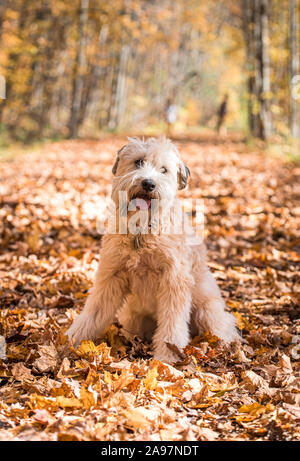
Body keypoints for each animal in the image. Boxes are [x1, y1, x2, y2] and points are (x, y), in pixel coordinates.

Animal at [67, 137, 240, 362]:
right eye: (139, 162)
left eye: (164, 170)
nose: (148, 183)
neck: (141, 231)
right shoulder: (111, 276)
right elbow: (93, 312)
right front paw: (71, 340)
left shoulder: (174, 280)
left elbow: (172, 324)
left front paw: (167, 357)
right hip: (133, 318)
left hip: (207, 311)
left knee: (222, 327)